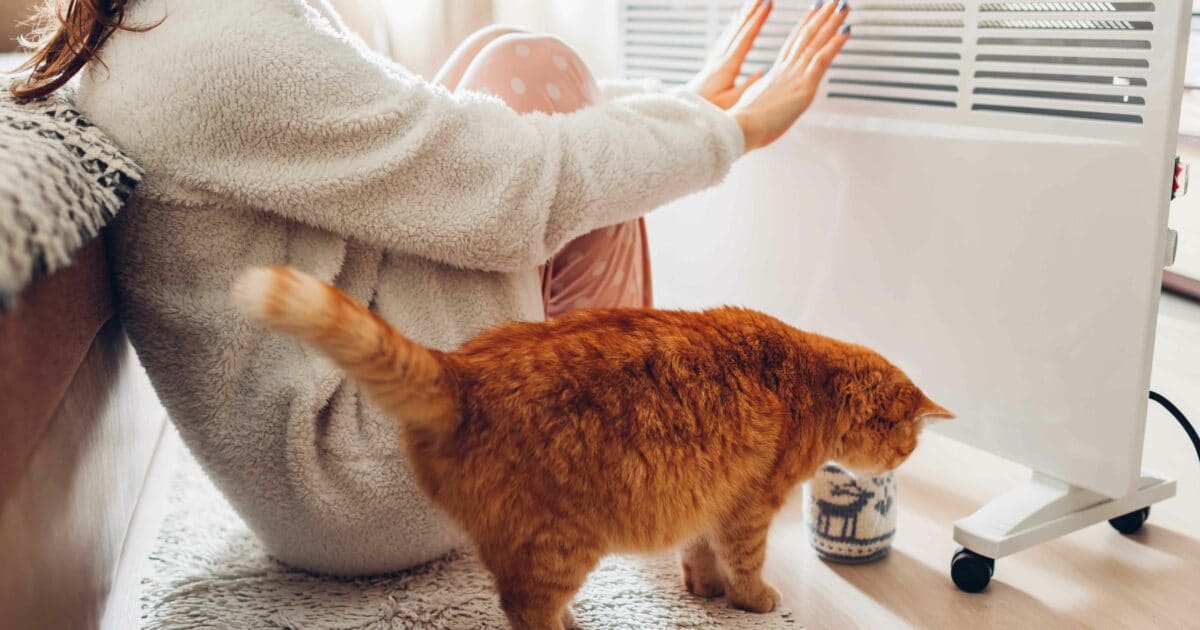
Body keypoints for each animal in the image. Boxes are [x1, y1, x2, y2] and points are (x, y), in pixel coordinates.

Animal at [231, 262, 945, 624]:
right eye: (906, 448)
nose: (906, 460)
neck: (809, 379)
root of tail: (463, 370)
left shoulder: (709, 497)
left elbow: (699, 555)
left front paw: (704, 590)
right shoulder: (748, 507)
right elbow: (745, 563)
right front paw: (752, 599)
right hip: (562, 541)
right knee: (524, 607)